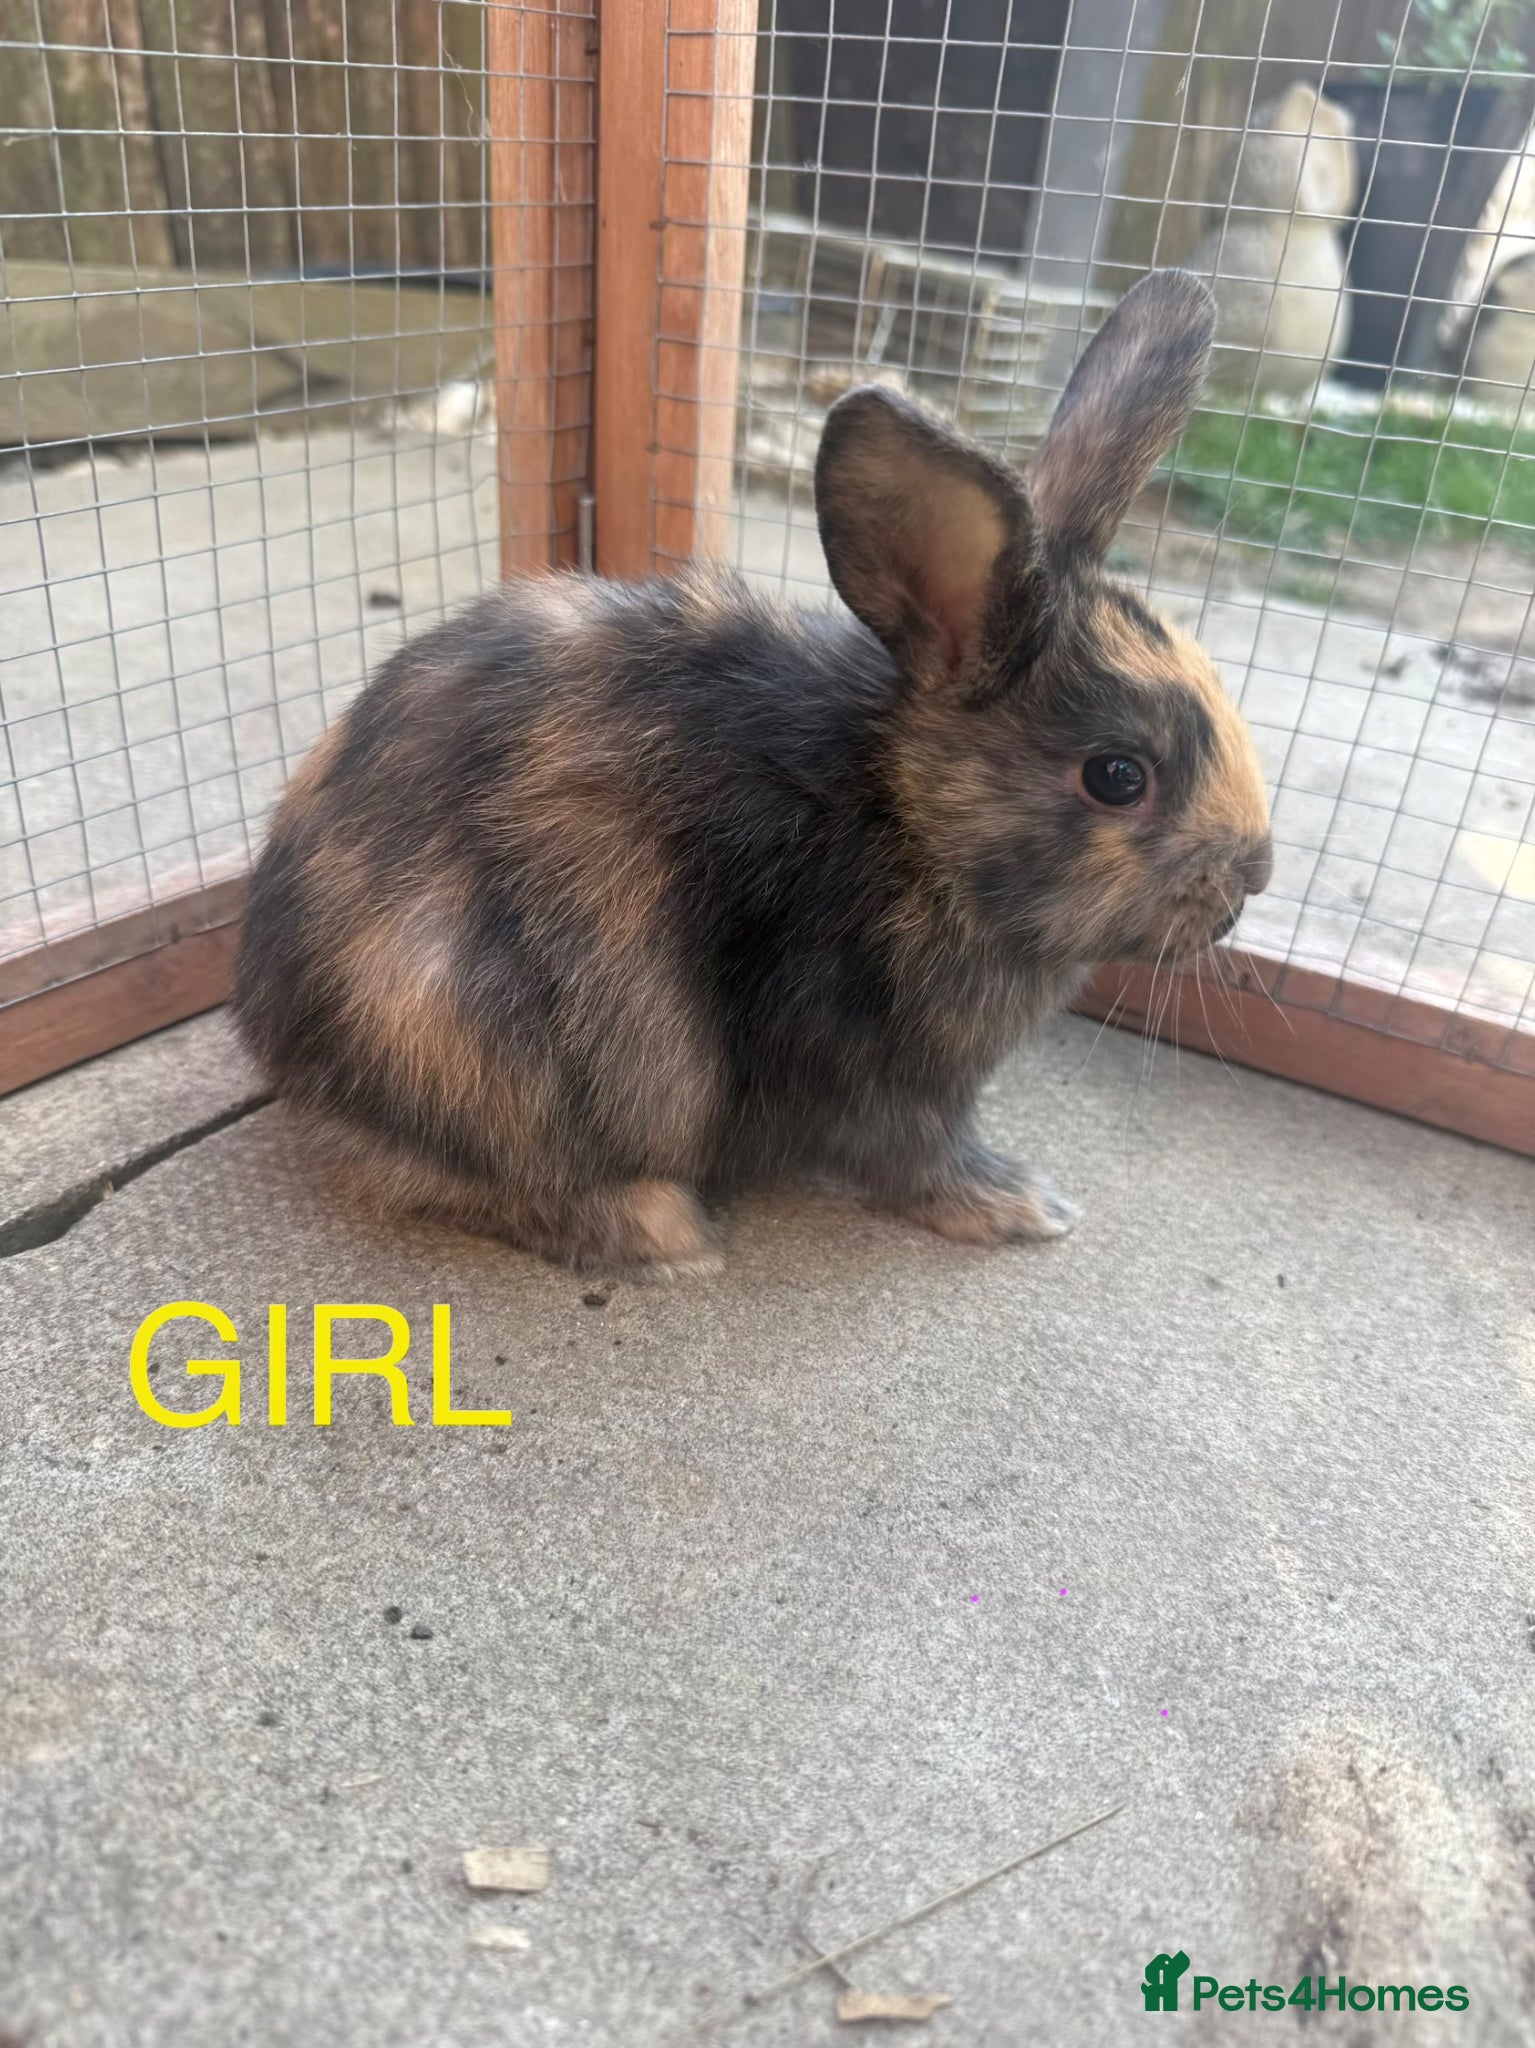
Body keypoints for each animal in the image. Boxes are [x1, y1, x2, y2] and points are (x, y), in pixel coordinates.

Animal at [234, 268, 1273, 1281]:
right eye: (1117, 776)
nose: (1253, 876)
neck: (905, 821)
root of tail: (286, 1051)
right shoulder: (875, 1073)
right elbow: (917, 1158)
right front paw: (1019, 1206)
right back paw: (660, 1232)